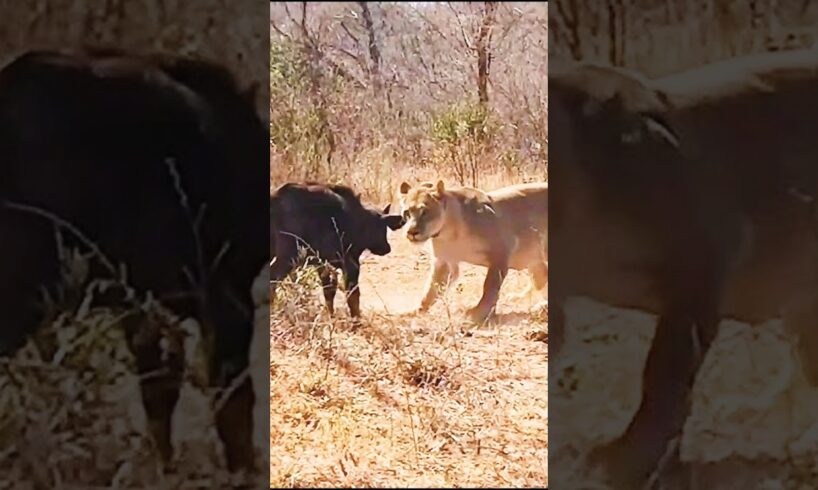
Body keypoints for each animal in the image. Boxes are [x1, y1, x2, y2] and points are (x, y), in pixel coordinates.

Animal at [270, 183, 404, 318]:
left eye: (385, 227)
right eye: (379, 227)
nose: (386, 248)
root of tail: (276, 199)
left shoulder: (322, 264)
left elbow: (329, 291)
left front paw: (331, 315)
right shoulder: (349, 264)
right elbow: (352, 293)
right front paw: (356, 318)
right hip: (288, 258)